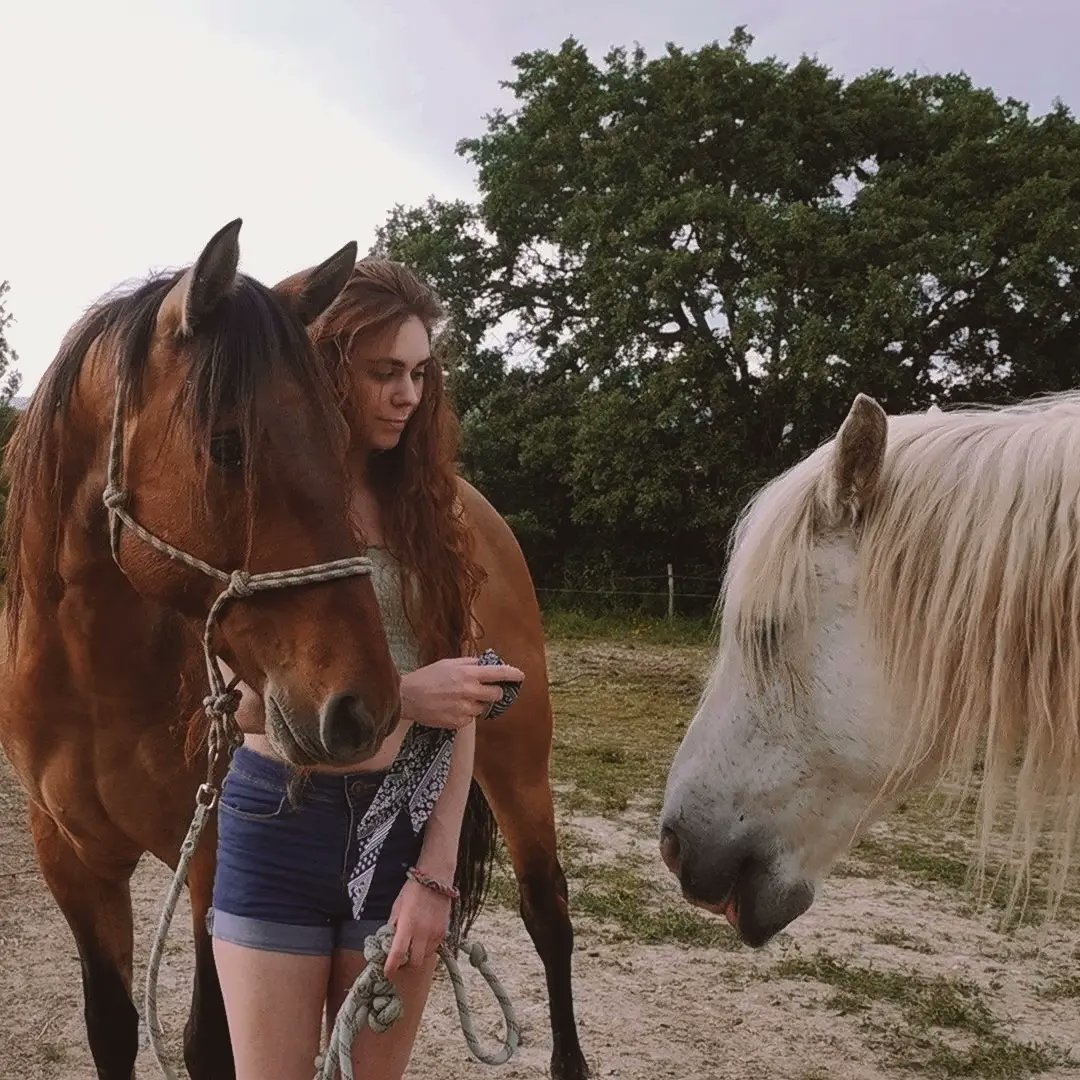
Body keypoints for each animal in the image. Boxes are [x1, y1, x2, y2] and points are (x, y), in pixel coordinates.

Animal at [0, 220, 405, 1079]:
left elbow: (211, 1042)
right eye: (226, 446)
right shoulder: (73, 859)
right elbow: (111, 1026)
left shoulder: (218, 862)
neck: (96, 681)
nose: (366, 705)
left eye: (337, 441)